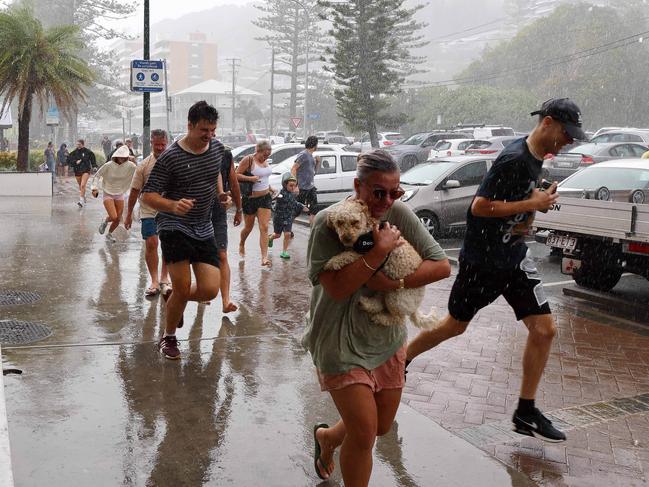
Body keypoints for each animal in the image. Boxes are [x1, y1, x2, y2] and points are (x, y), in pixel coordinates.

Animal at [322, 200, 438, 330]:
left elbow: (348, 255)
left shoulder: (366, 253)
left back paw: (380, 317)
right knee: (380, 302)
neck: (367, 232)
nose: (347, 238)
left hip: (395, 297)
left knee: (398, 319)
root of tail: (415, 308)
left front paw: (333, 262)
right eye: (339, 222)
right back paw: (367, 304)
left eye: (355, 222)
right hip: (386, 290)